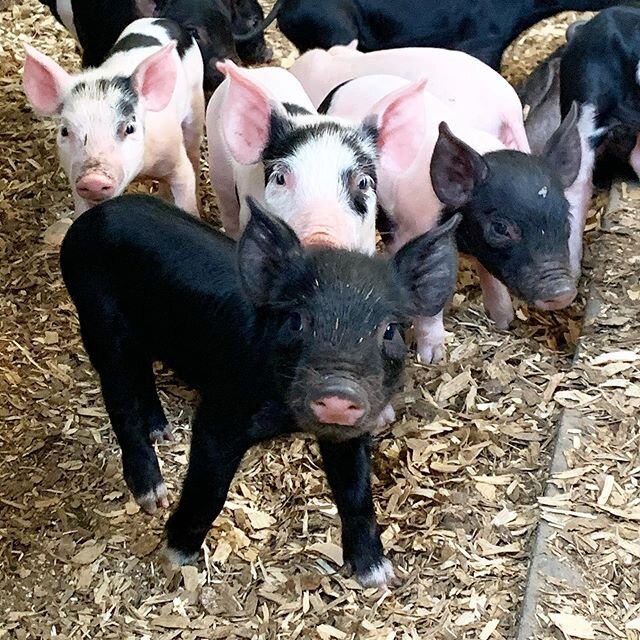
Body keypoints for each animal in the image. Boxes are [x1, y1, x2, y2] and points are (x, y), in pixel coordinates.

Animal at [23, 18, 204, 219]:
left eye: (129, 128)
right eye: (65, 131)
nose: (93, 179)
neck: (142, 170)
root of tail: (162, 20)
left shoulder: (174, 156)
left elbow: (185, 182)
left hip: (196, 102)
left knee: (194, 151)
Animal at [59, 193, 460, 587]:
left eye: (390, 329)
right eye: (296, 320)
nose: (339, 392)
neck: (288, 419)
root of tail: (91, 219)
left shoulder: (349, 434)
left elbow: (356, 492)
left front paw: (377, 576)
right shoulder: (222, 412)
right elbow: (209, 489)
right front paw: (175, 557)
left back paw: (163, 432)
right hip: (97, 320)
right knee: (121, 399)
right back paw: (153, 496)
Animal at [322, 75, 582, 362]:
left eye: (566, 220)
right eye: (500, 228)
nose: (562, 292)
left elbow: (491, 277)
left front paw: (504, 322)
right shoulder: (411, 229)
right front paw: (433, 358)